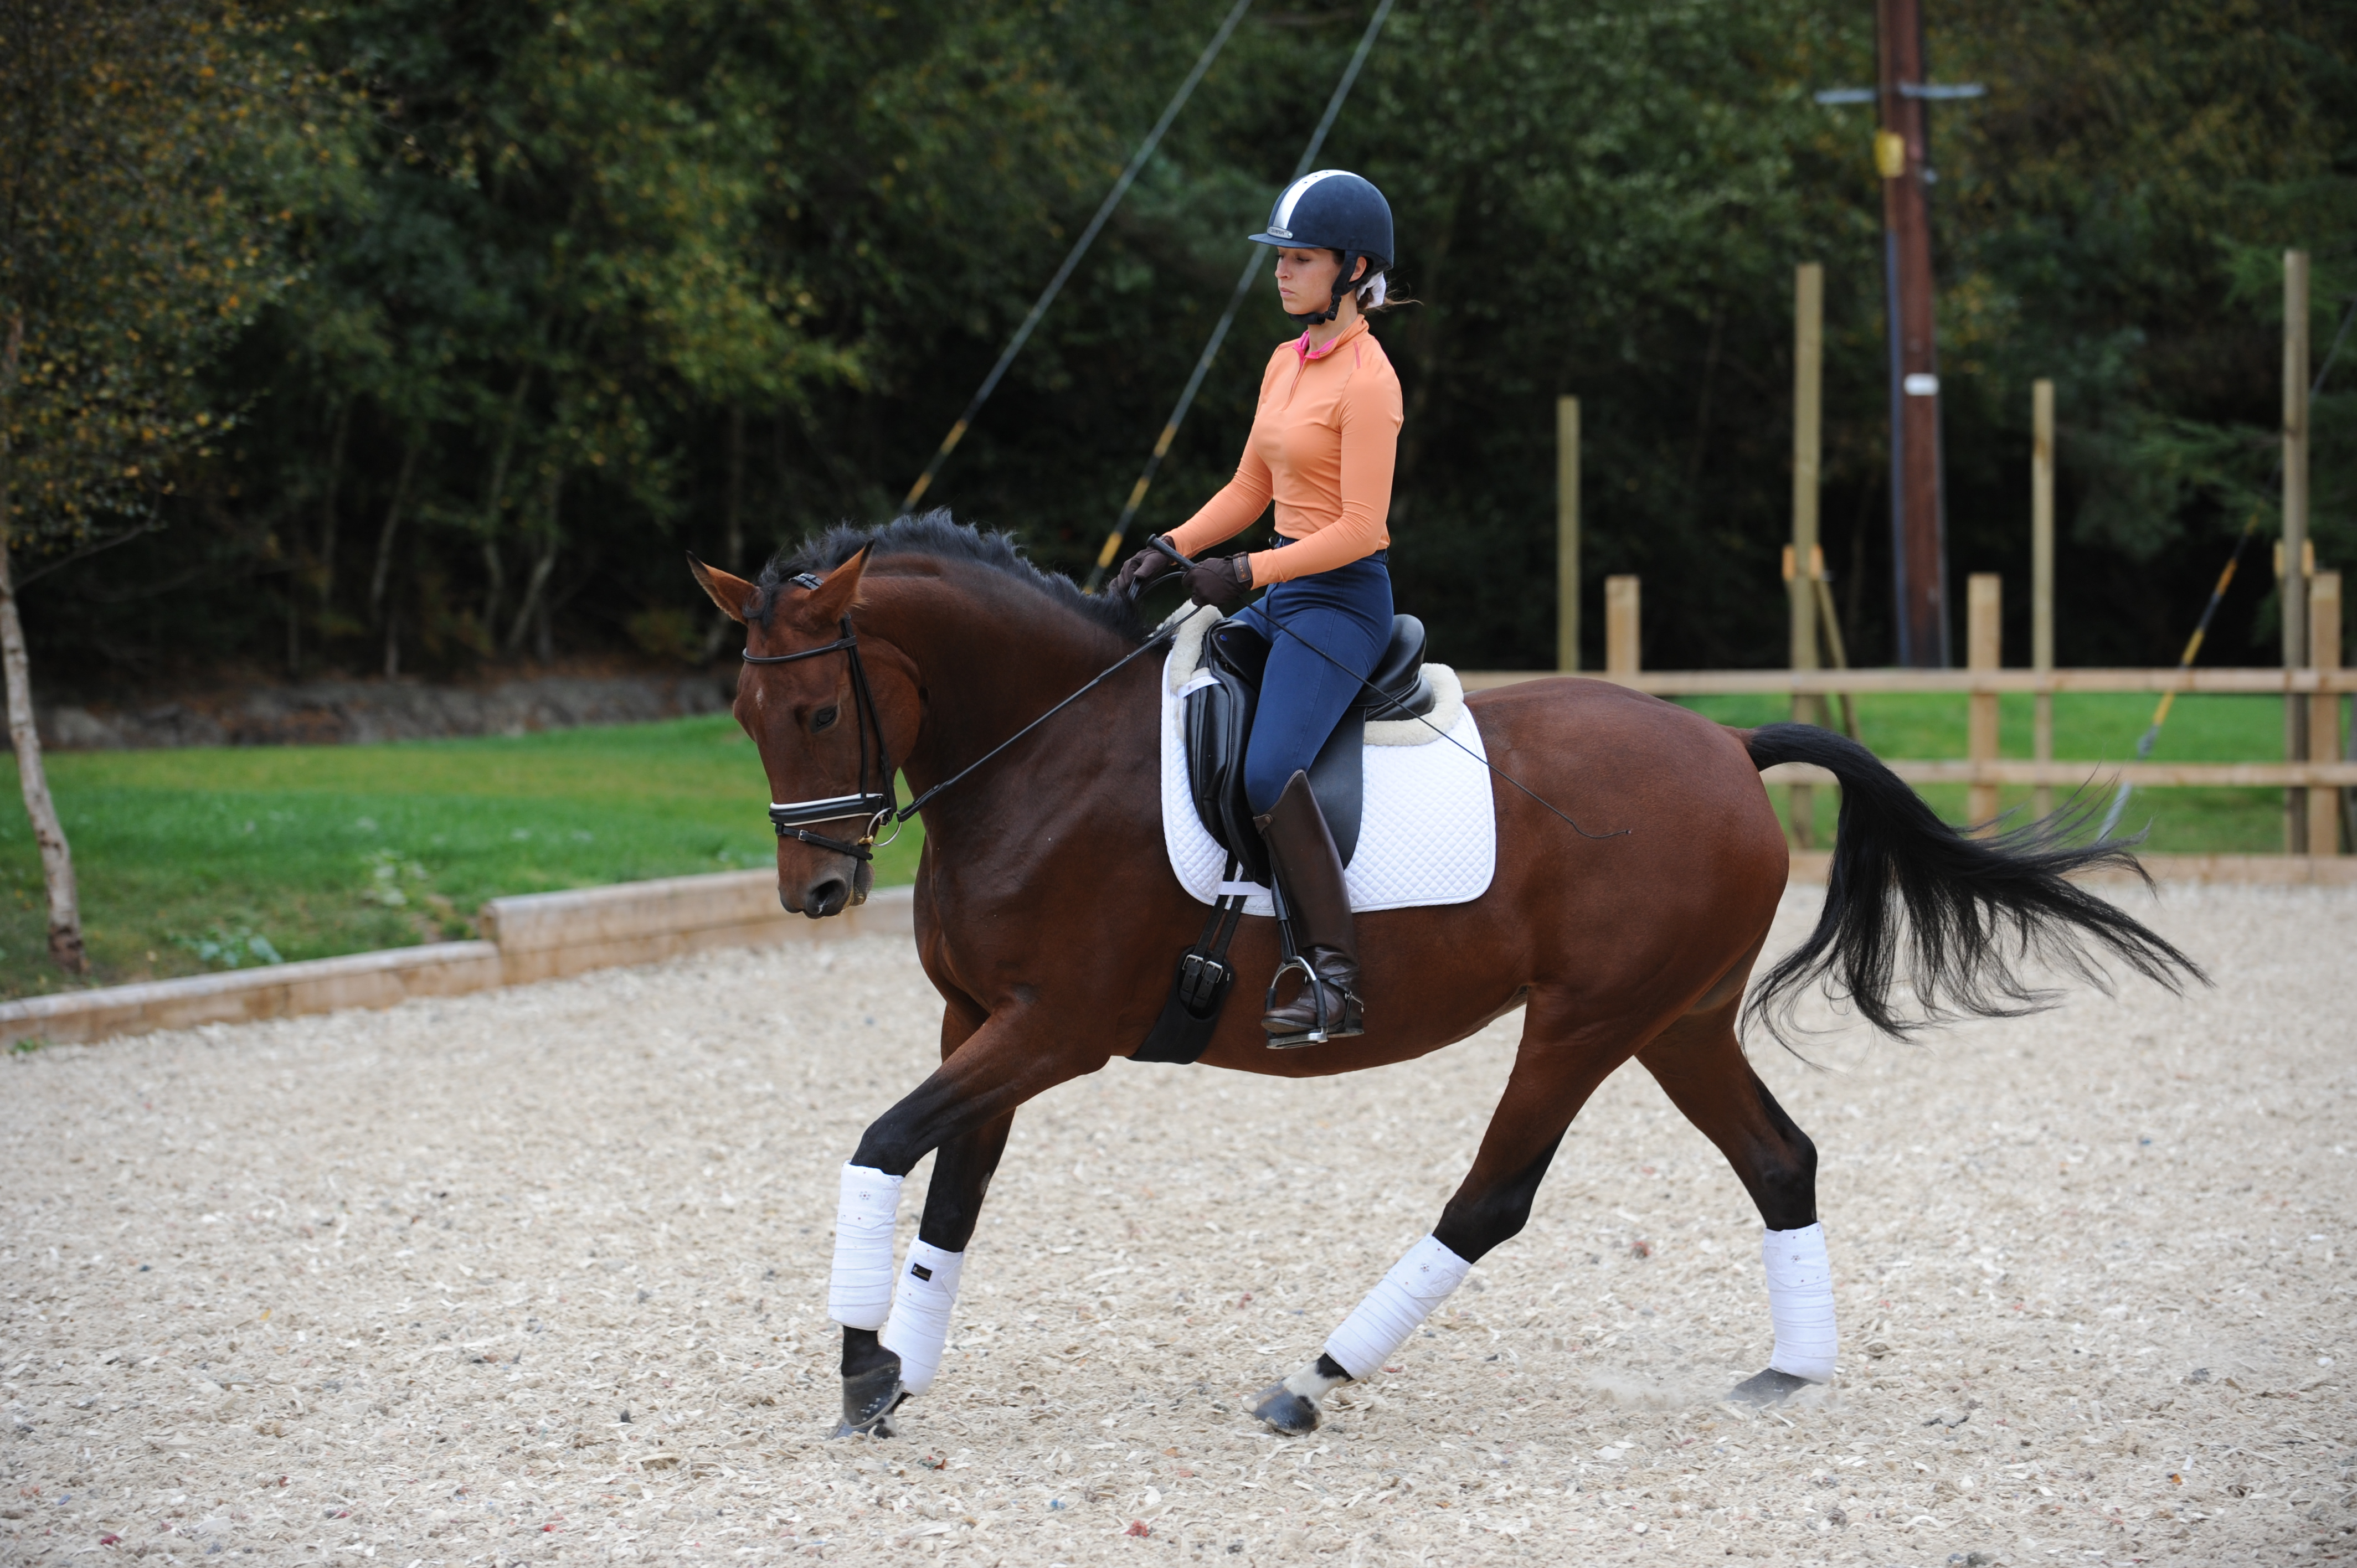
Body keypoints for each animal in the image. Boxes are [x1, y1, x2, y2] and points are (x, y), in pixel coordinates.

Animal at [688, 513, 2199, 1438]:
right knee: (1780, 1157)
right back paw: (1788, 1370)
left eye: (815, 708)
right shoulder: (978, 1020)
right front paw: (900, 1368)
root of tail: (1726, 746)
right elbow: (951, 1188)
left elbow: (883, 1142)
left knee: (1495, 1196)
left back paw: (1314, 1376)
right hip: (1678, 1019)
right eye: (746, 715)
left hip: (1586, 1020)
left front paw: (861, 1364)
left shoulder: (1055, 1027)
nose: (817, 892)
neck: (1044, 757)